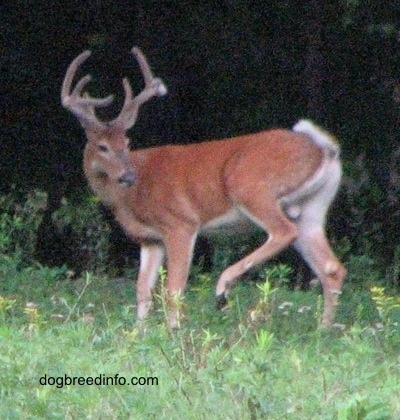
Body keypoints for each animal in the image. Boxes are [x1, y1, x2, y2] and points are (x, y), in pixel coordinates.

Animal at [61, 45, 346, 328]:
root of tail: (324, 149)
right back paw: (323, 330)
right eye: (103, 146)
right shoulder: (150, 239)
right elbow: (142, 289)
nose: (128, 176)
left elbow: (173, 289)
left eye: (127, 143)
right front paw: (138, 333)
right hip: (311, 209)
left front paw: (172, 331)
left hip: (250, 186)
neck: (129, 197)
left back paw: (223, 289)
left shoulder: (180, 223)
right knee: (331, 268)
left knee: (283, 232)